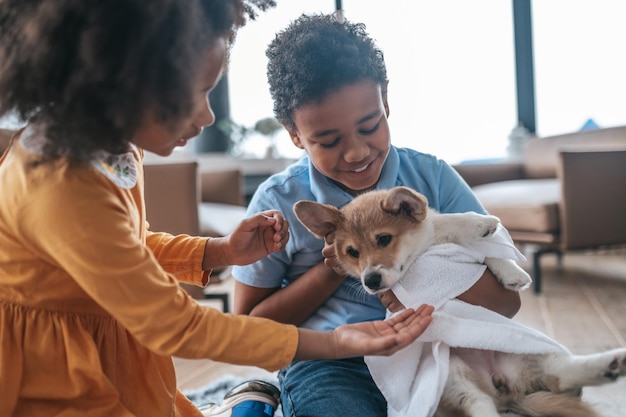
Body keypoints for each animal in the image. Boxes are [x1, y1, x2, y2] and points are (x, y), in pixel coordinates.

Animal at [292, 186, 624, 416]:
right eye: (352, 252)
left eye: (384, 239)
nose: (370, 281)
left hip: (528, 355)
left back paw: (612, 363)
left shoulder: (465, 251)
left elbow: (480, 246)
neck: (428, 247)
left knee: (561, 371)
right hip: (453, 378)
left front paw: (507, 266)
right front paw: (479, 227)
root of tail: (503, 388)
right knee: (482, 404)